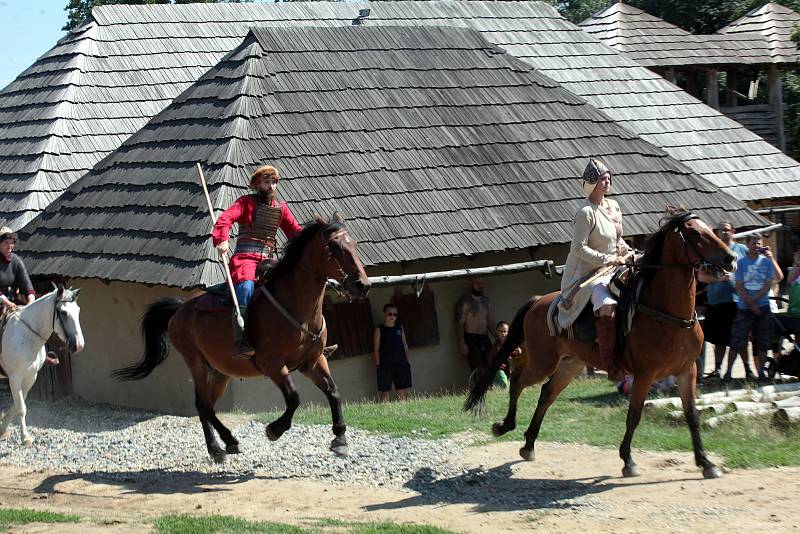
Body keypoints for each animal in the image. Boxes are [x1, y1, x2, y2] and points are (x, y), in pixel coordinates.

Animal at [0, 286, 83, 446]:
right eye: (63, 313)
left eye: (78, 310)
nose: (79, 345)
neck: (26, 336)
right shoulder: (14, 377)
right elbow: (21, 408)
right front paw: (25, 437)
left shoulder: (30, 376)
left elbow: (18, 404)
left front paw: (3, 428)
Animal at [114, 214, 370, 464]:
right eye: (334, 247)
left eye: (355, 245)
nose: (363, 285)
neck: (296, 309)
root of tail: (180, 309)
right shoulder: (273, 364)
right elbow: (294, 397)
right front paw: (274, 429)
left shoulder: (313, 361)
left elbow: (333, 392)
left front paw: (340, 438)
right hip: (196, 362)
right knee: (203, 405)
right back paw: (221, 445)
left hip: (220, 372)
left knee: (206, 404)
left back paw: (222, 445)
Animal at [468, 209, 736, 482]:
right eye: (695, 233)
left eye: (710, 228)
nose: (730, 258)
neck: (668, 315)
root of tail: (538, 301)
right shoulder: (645, 374)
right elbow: (634, 416)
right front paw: (628, 461)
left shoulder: (687, 370)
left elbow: (692, 415)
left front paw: (705, 463)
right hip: (544, 362)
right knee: (518, 382)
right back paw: (504, 426)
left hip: (571, 364)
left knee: (546, 393)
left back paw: (529, 445)